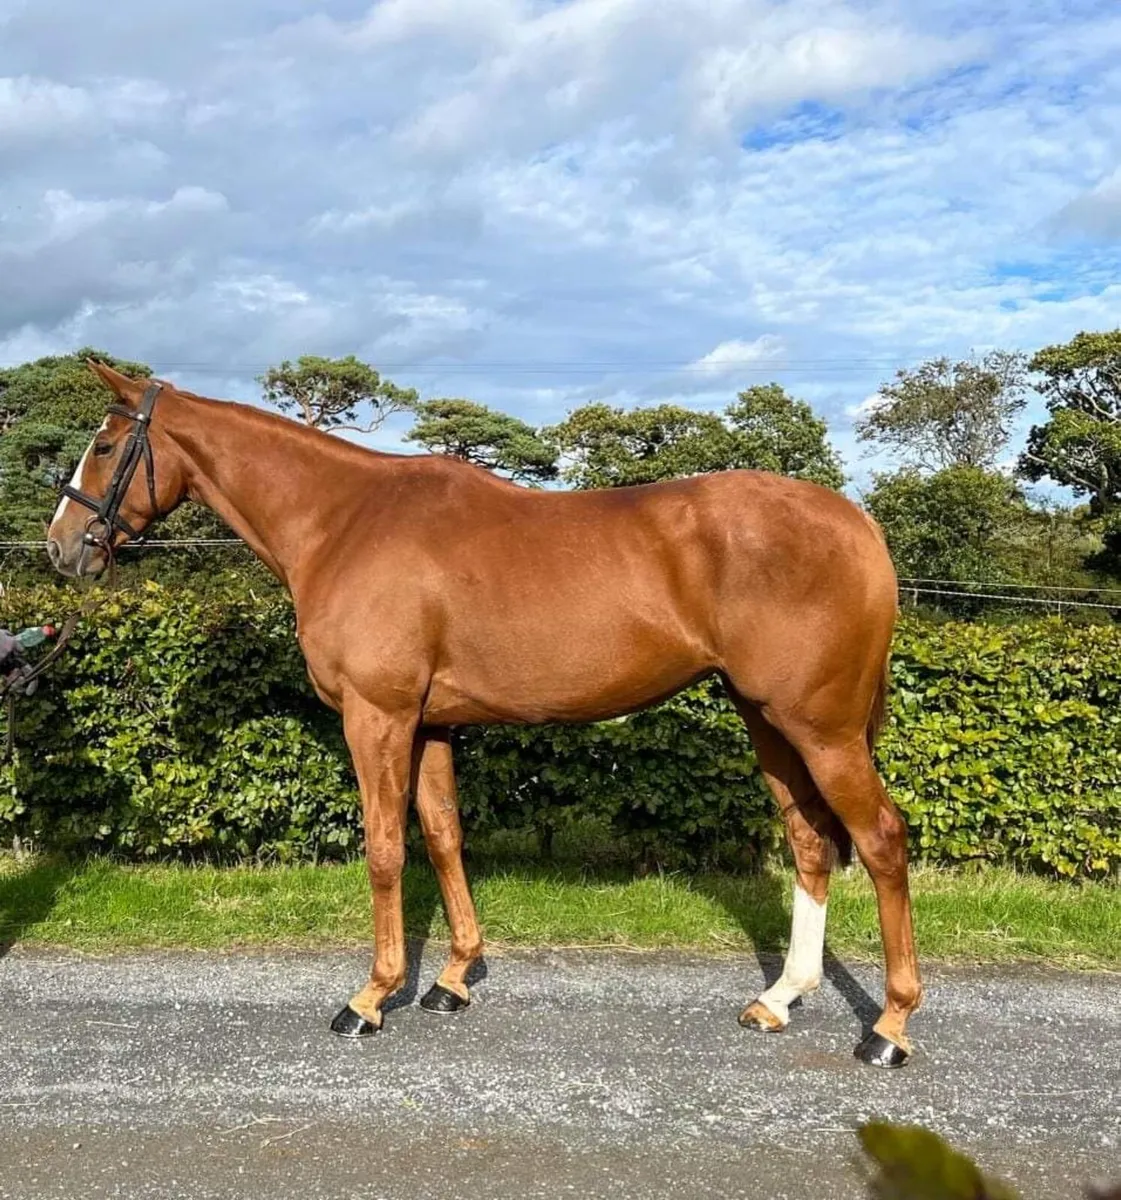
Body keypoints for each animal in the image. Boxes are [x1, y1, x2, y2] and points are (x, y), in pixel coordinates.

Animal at [47, 361, 922, 1068]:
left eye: (104, 445)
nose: (62, 547)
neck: (342, 521)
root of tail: (858, 524)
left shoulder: (377, 716)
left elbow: (384, 849)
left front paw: (371, 997)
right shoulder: (430, 722)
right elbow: (442, 836)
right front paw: (453, 978)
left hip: (821, 729)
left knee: (880, 839)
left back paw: (888, 1028)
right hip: (768, 720)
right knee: (809, 841)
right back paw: (779, 998)